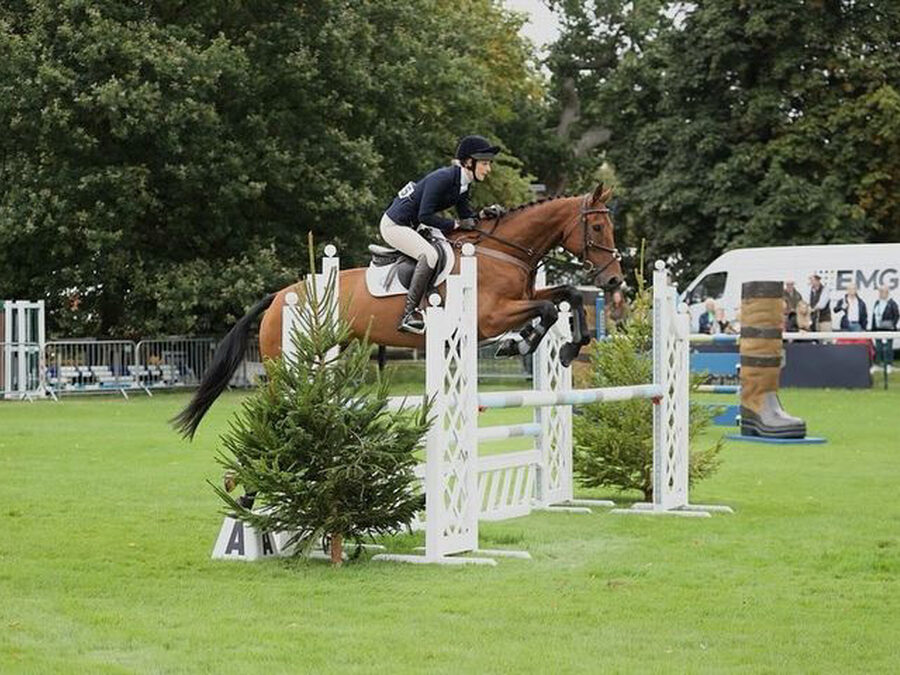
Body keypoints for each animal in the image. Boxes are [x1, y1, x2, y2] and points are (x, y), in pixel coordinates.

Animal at [173, 182, 622, 439]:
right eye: (599, 228)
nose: (616, 281)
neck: (502, 250)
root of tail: (280, 296)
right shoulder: (489, 317)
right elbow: (546, 309)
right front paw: (520, 344)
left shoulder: (522, 298)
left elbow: (567, 295)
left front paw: (568, 347)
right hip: (288, 362)